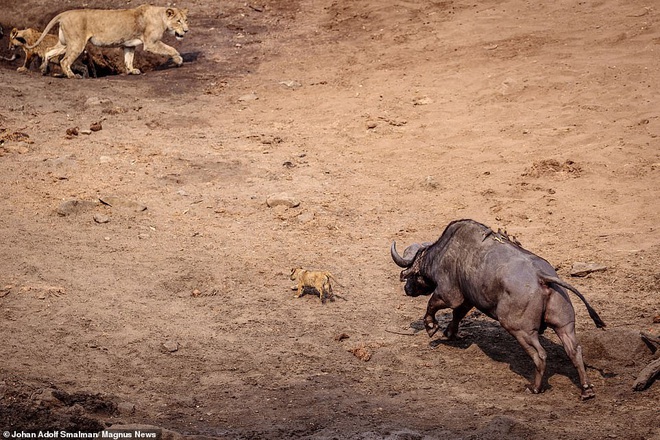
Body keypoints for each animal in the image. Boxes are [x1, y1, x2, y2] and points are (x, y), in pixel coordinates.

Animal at [390, 218, 604, 400]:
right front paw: (450, 333)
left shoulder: (449, 294)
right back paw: (586, 390)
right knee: (575, 351)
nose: (407, 289)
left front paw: (431, 327)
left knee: (540, 355)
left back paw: (534, 387)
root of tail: (541, 277)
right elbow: (458, 315)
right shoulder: (468, 299)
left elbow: (433, 305)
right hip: (564, 326)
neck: (442, 252)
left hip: (520, 330)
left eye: (412, 276)